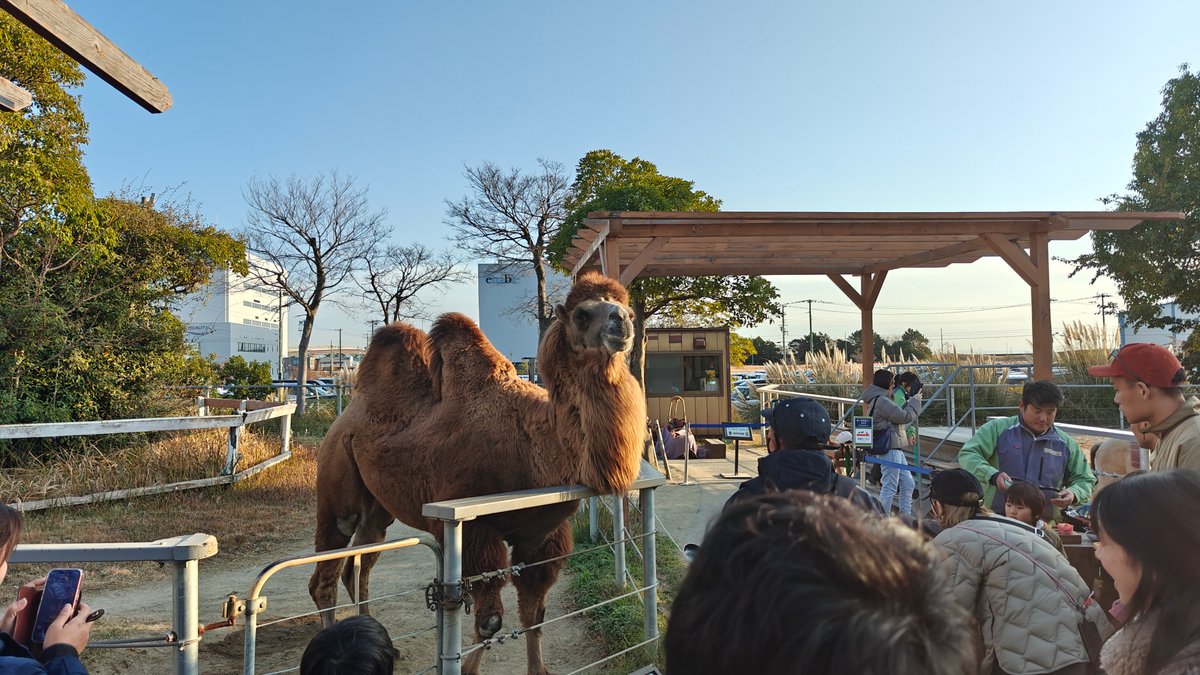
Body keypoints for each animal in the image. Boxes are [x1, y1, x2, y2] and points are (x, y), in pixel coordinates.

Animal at [308, 272, 646, 675]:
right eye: (582, 314)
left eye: (626, 308)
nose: (622, 322)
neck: (535, 443)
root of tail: (346, 414)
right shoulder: (473, 530)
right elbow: (490, 623)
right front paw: (465, 666)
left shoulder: (542, 536)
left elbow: (535, 615)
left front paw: (539, 669)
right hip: (337, 473)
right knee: (326, 572)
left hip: (378, 504)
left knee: (359, 562)